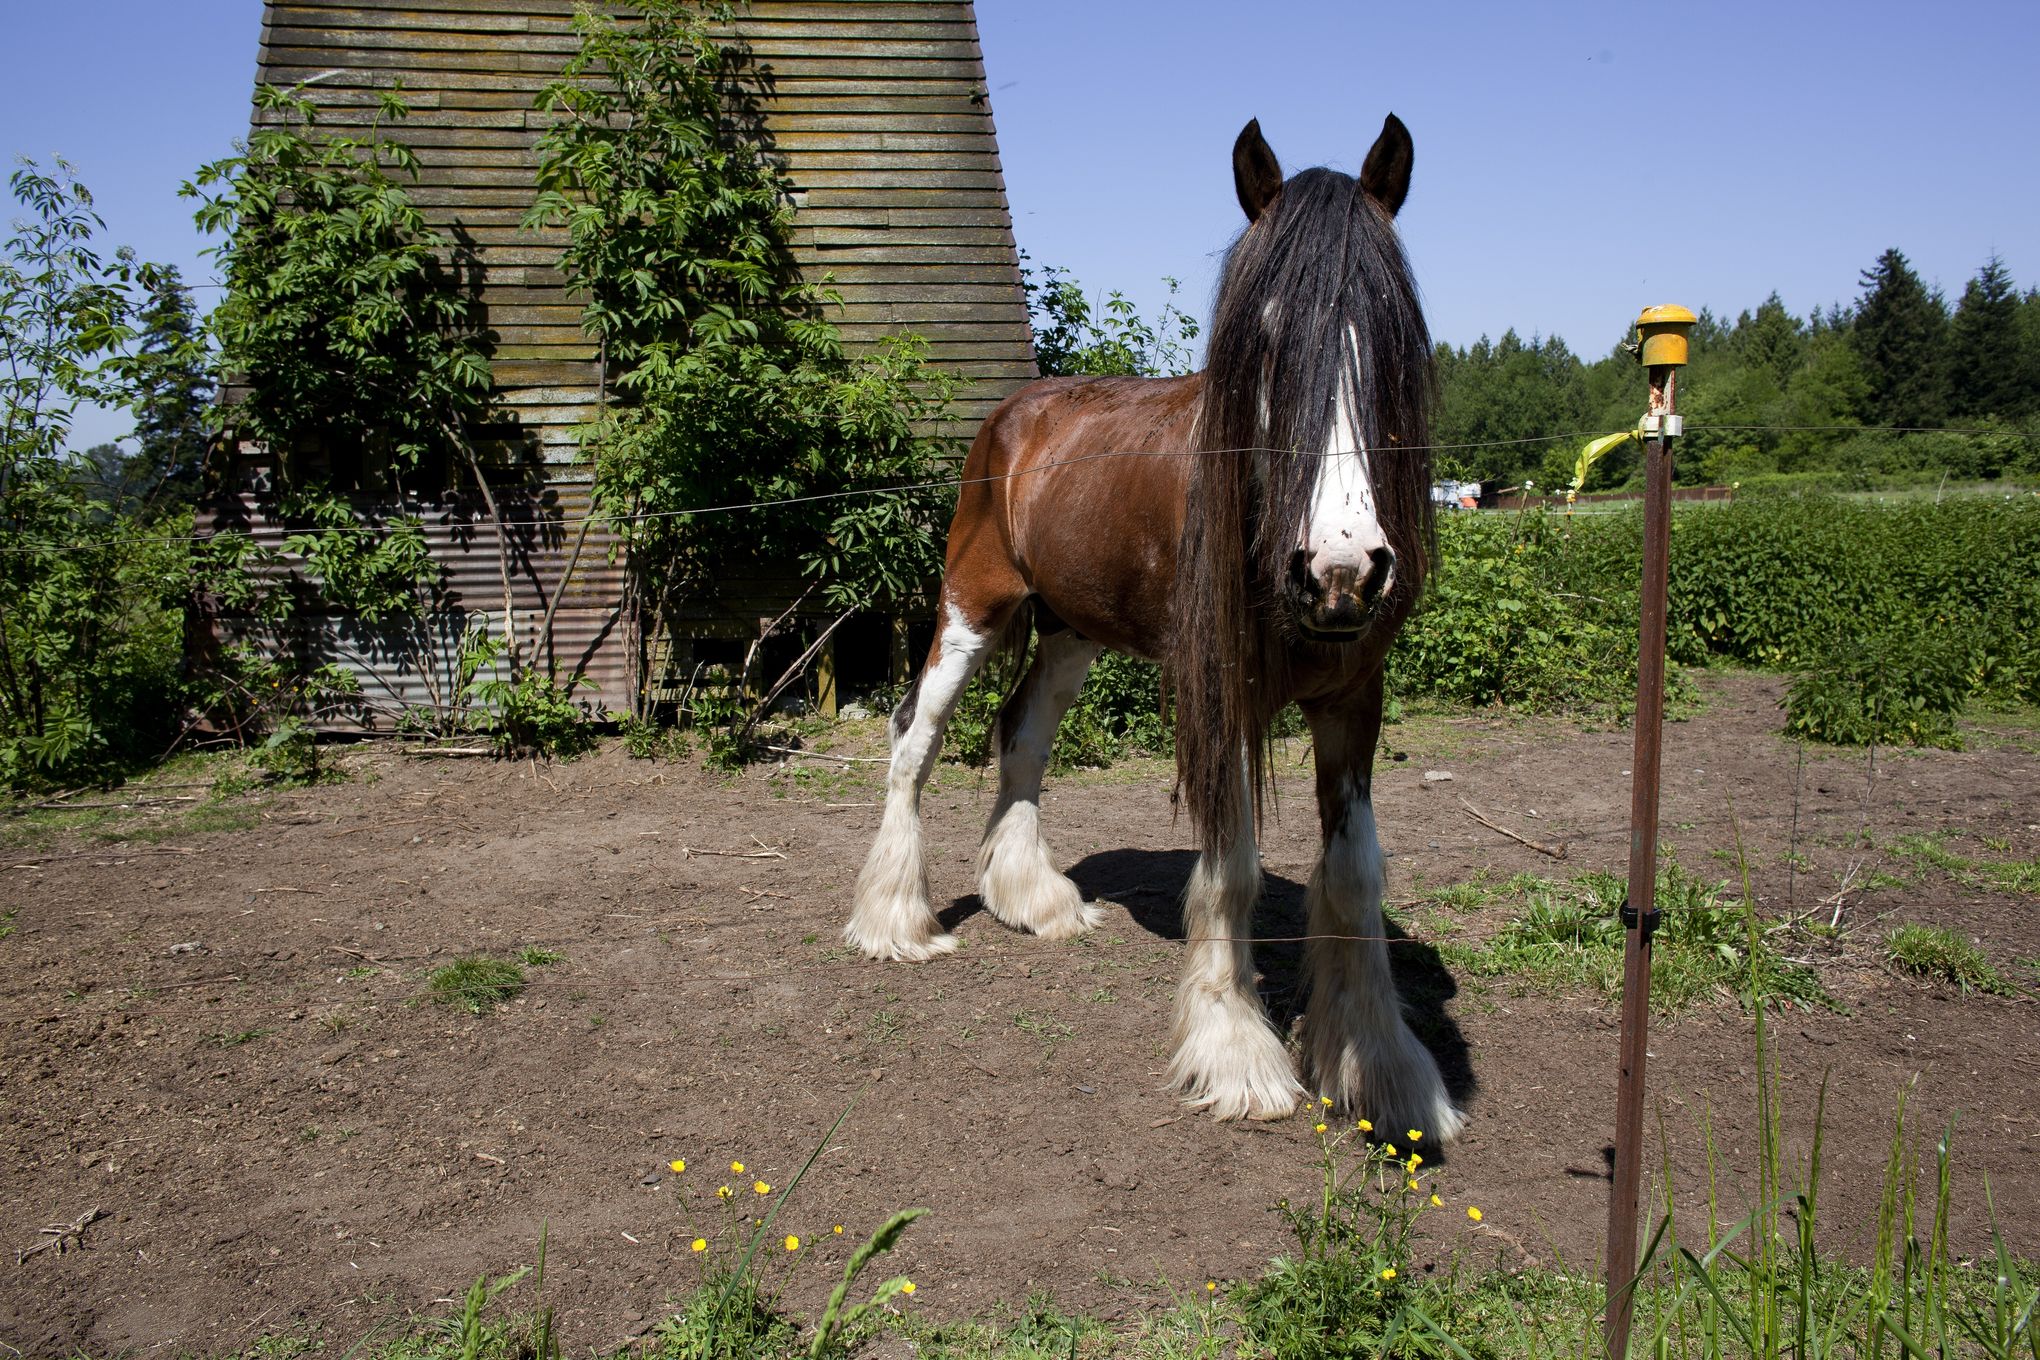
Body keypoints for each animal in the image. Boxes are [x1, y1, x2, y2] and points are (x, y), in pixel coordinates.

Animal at [844, 114, 1468, 1141]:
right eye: (1264, 342)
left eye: (1393, 338)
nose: (1340, 570)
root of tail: (1018, 412)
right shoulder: (1217, 700)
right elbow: (1233, 871)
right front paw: (1238, 1054)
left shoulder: (1354, 699)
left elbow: (1355, 875)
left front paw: (1381, 1070)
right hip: (973, 605)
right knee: (915, 739)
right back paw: (897, 921)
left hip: (1070, 631)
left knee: (1022, 735)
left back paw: (1033, 901)